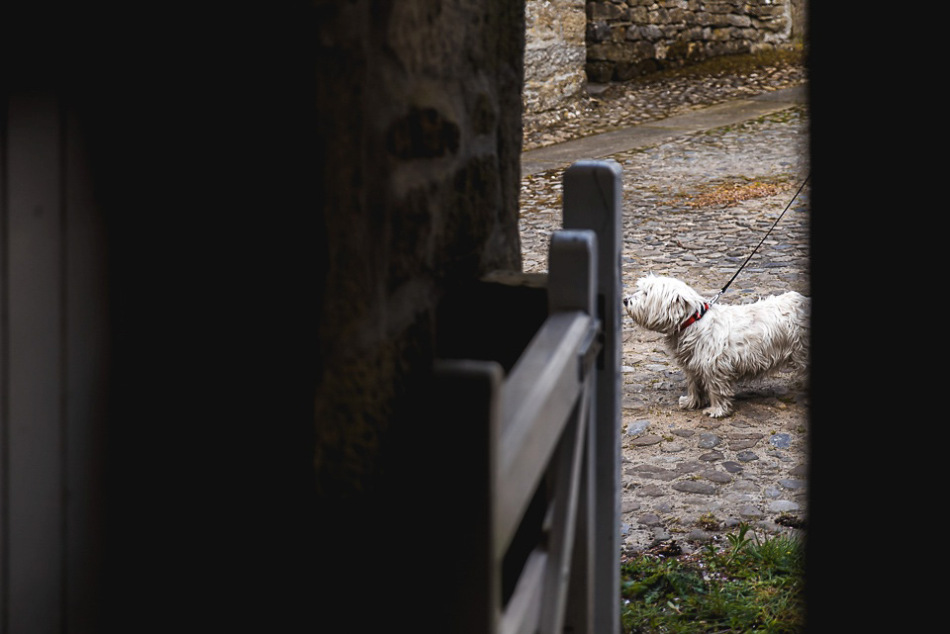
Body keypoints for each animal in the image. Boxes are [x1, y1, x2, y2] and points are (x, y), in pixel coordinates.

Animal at [624, 276, 812, 414]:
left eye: (646, 293)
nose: (625, 300)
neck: (692, 321)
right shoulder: (692, 364)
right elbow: (693, 385)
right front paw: (691, 402)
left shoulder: (714, 366)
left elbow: (717, 389)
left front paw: (716, 410)